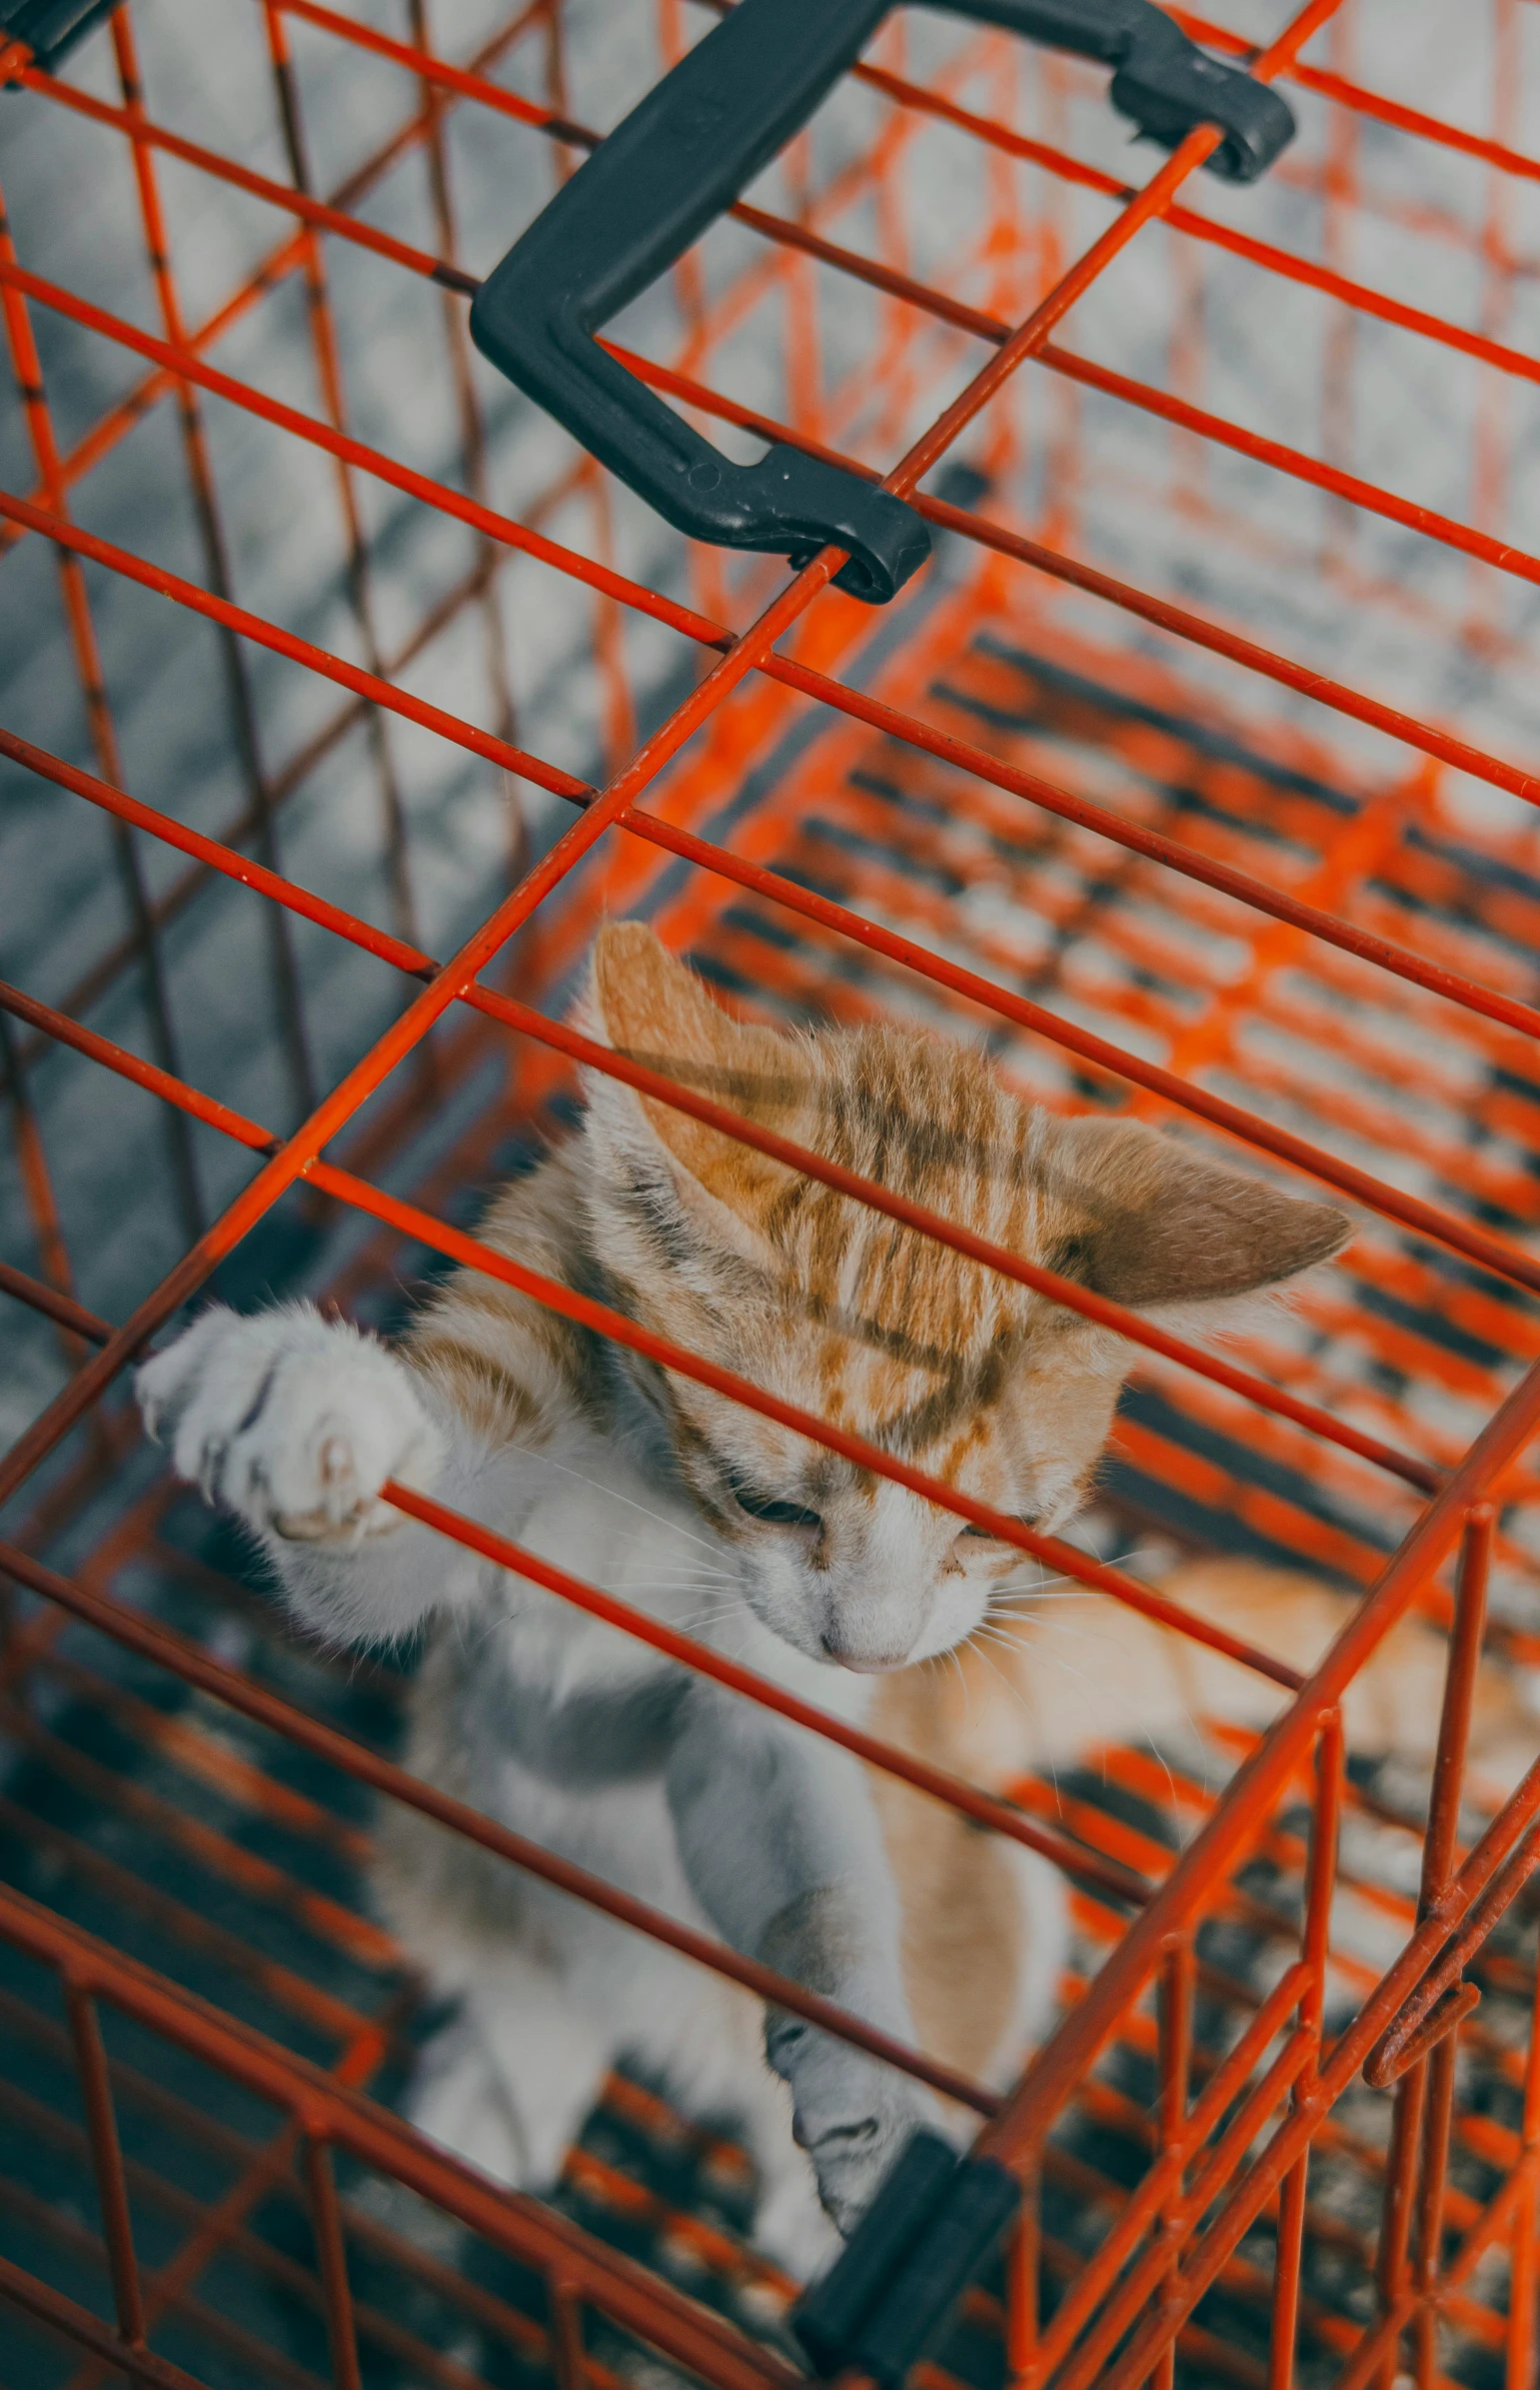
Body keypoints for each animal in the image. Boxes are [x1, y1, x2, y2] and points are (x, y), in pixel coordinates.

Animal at [140, 922, 1346, 2265]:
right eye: (773, 1504)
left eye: (996, 1531)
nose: (871, 1657)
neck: (657, 1502)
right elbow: (371, 1548)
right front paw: (304, 1403)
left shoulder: (762, 1718)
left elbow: (811, 1895)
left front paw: (865, 2088)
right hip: (445, 1857)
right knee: (533, 1983)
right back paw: (506, 2087)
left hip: (983, 1906)